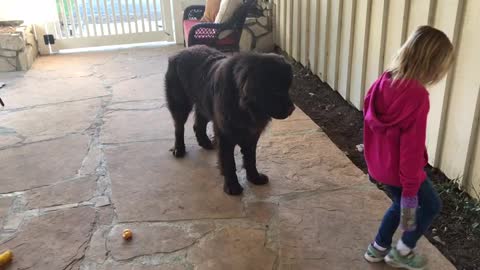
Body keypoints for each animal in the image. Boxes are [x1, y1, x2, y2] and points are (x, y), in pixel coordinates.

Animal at [165, 45, 294, 195]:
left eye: (288, 88)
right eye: (275, 90)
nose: (292, 109)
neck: (243, 107)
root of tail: (179, 53)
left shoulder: (251, 135)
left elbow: (251, 158)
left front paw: (255, 177)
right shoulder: (225, 135)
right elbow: (229, 162)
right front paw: (232, 186)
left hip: (204, 103)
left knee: (198, 125)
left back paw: (206, 143)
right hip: (180, 103)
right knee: (179, 127)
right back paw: (179, 149)